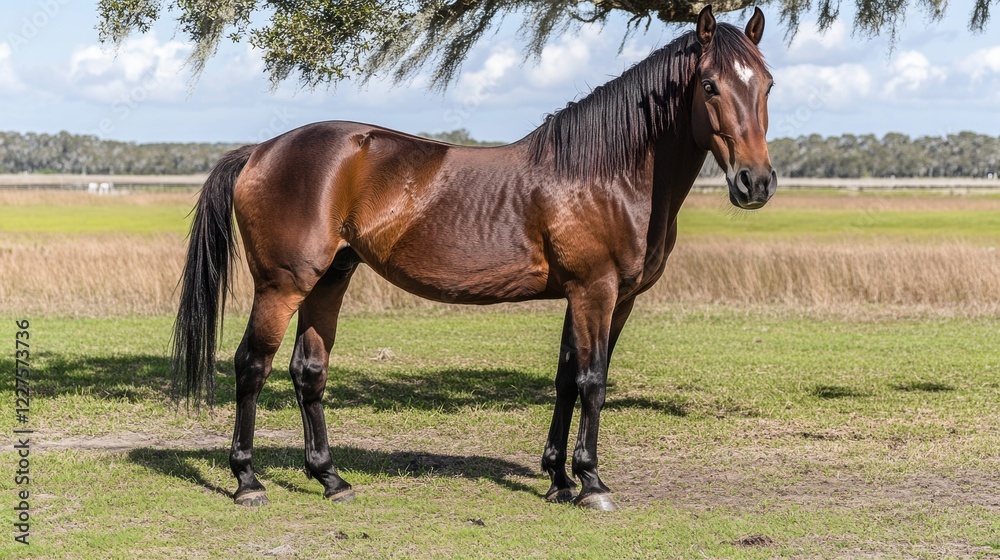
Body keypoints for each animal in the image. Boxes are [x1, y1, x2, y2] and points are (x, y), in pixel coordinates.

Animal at [173, 6, 775, 512]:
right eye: (709, 85)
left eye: (767, 85)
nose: (756, 182)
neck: (605, 172)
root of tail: (260, 150)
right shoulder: (596, 291)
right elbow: (593, 382)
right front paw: (591, 483)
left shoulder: (600, 298)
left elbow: (566, 378)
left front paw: (558, 479)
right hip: (282, 284)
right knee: (252, 365)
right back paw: (247, 481)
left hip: (330, 279)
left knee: (308, 371)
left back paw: (330, 478)